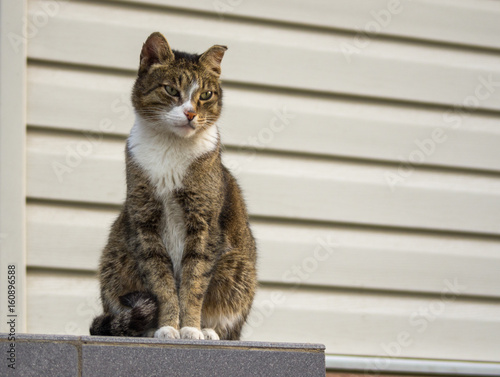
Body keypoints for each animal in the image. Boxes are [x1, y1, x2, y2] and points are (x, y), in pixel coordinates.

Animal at [89, 30, 258, 340]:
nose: (190, 113)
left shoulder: (202, 224)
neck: (171, 147)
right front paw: (168, 326)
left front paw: (190, 328)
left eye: (206, 95)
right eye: (170, 90)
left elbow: (193, 282)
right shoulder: (145, 223)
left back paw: (210, 331)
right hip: (115, 259)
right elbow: (163, 283)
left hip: (239, 269)